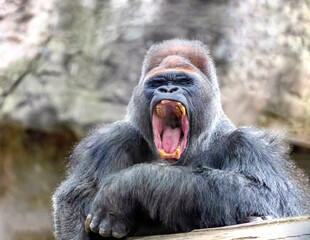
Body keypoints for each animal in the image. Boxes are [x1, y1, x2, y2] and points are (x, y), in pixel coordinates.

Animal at [52, 38, 308, 239]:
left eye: (183, 81)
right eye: (157, 83)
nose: (167, 90)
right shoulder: (110, 140)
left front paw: (126, 187)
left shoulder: (250, 144)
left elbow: (272, 196)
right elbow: (72, 202)